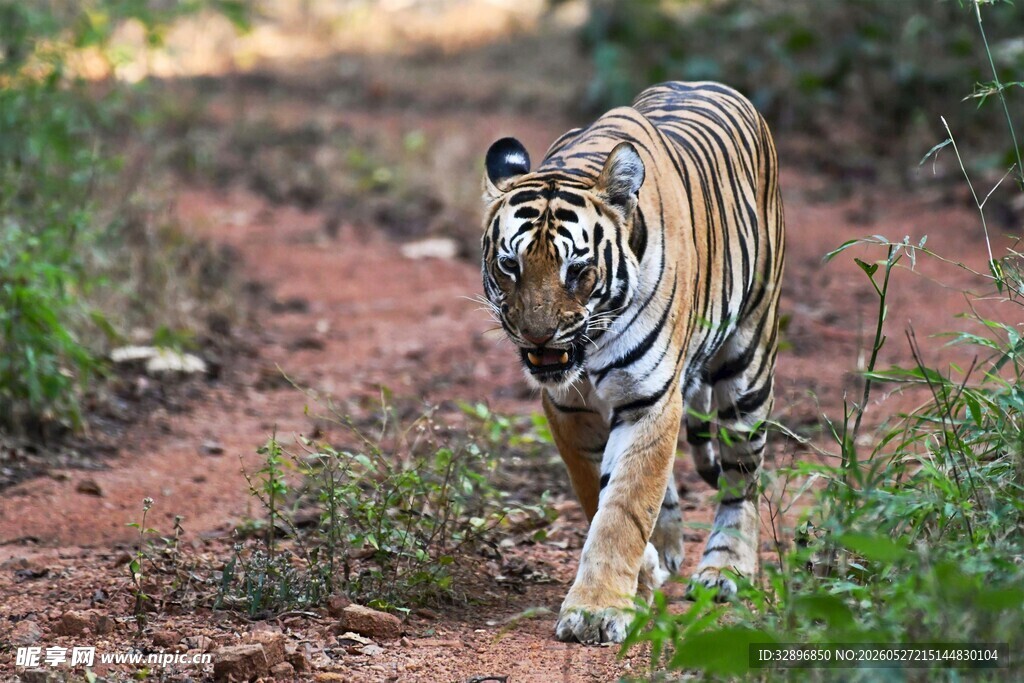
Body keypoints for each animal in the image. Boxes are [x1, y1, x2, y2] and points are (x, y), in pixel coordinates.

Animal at [479, 81, 785, 644]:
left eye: (576, 269)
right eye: (509, 265)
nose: (537, 335)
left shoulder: (649, 399)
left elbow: (623, 507)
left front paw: (597, 611)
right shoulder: (569, 409)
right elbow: (598, 493)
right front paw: (639, 576)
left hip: (748, 364)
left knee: (741, 479)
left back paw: (725, 570)